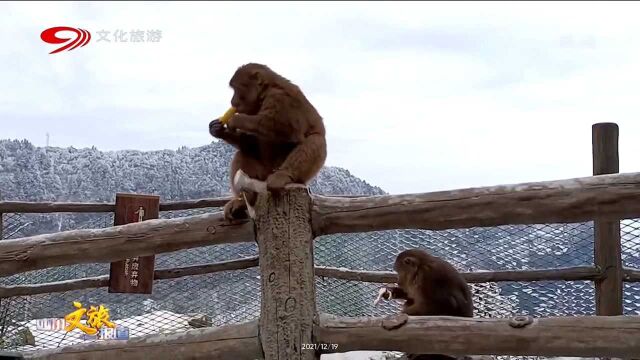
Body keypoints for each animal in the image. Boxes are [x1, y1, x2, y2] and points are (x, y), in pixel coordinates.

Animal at [210, 63, 328, 221]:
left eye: (237, 90)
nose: (232, 102)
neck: (266, 91)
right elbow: (251, 144)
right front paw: (219, 130)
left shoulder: (279, 98)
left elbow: (285, 128)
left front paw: (236, 119)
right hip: (261, 175)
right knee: (243, 153)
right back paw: (243, 200)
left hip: (297, 176)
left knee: (316, 140)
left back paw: (283, 175)